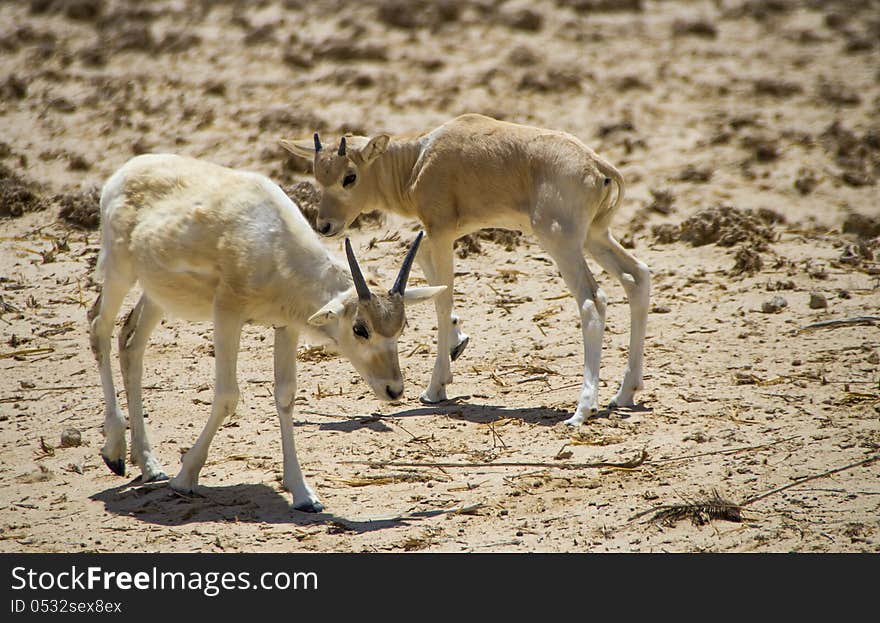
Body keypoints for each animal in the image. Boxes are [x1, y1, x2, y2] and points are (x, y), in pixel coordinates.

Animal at [88, 152, 444, 512]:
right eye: (360, 328)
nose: (393, 390)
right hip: (119, 270)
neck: (273, 242)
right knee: (98, 326)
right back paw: (114, 452)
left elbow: (285, 396)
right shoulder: (227, 313)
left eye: (401, 326)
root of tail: (124, 172)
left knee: (131, 342)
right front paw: (186, 476)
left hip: (159, 293)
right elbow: (227, 395)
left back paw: (149, 465)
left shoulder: (286, 325)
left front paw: (303, 493)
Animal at [282, 114, 648, 426]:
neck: (421, 155)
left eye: (350, 176)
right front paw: (457, 343)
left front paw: (435, 389)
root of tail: (596, 165)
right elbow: (433, 283)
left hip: (561, 242)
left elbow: (443, 299)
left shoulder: (441, 233)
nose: (325, 225)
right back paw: (625, 393)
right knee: (637, 276)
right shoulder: (435, 237)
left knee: (592, 300)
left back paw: (582, 410)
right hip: (595, 236)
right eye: (319, 176)